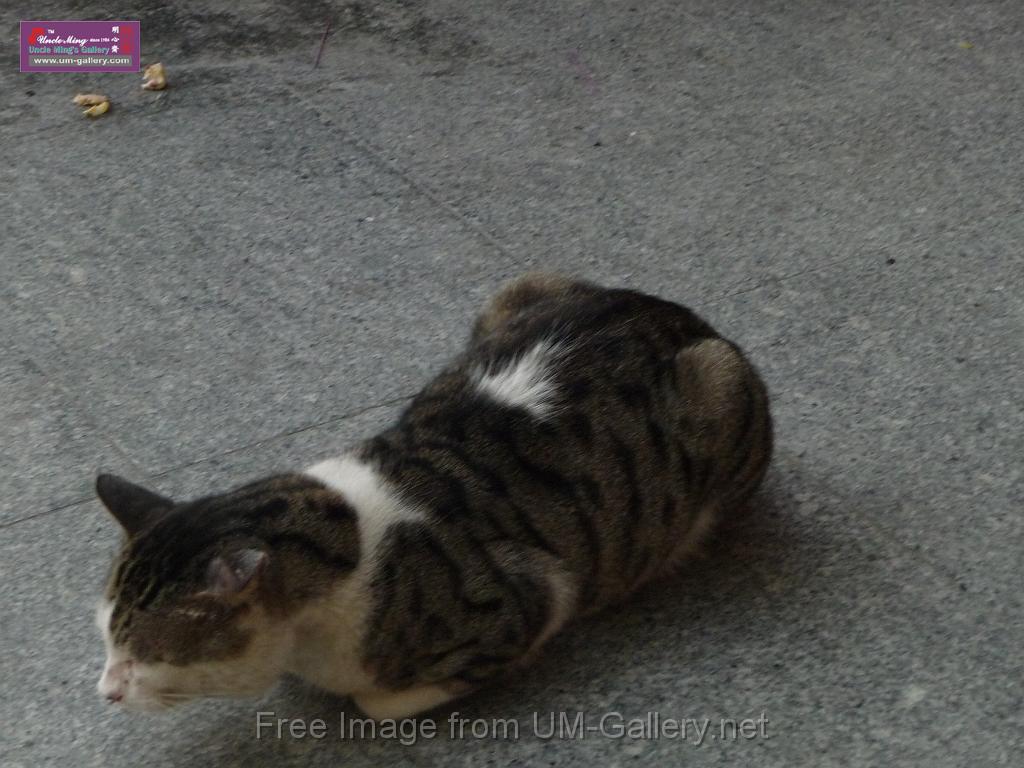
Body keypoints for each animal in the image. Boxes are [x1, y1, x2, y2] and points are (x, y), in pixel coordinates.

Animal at [95, 274, 772, 720]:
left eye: (145, 652)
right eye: (105, 634)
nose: (106, 690)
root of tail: (682, 317)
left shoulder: (531, 598)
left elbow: (376, 703)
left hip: (722, 379)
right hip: (523, 286)